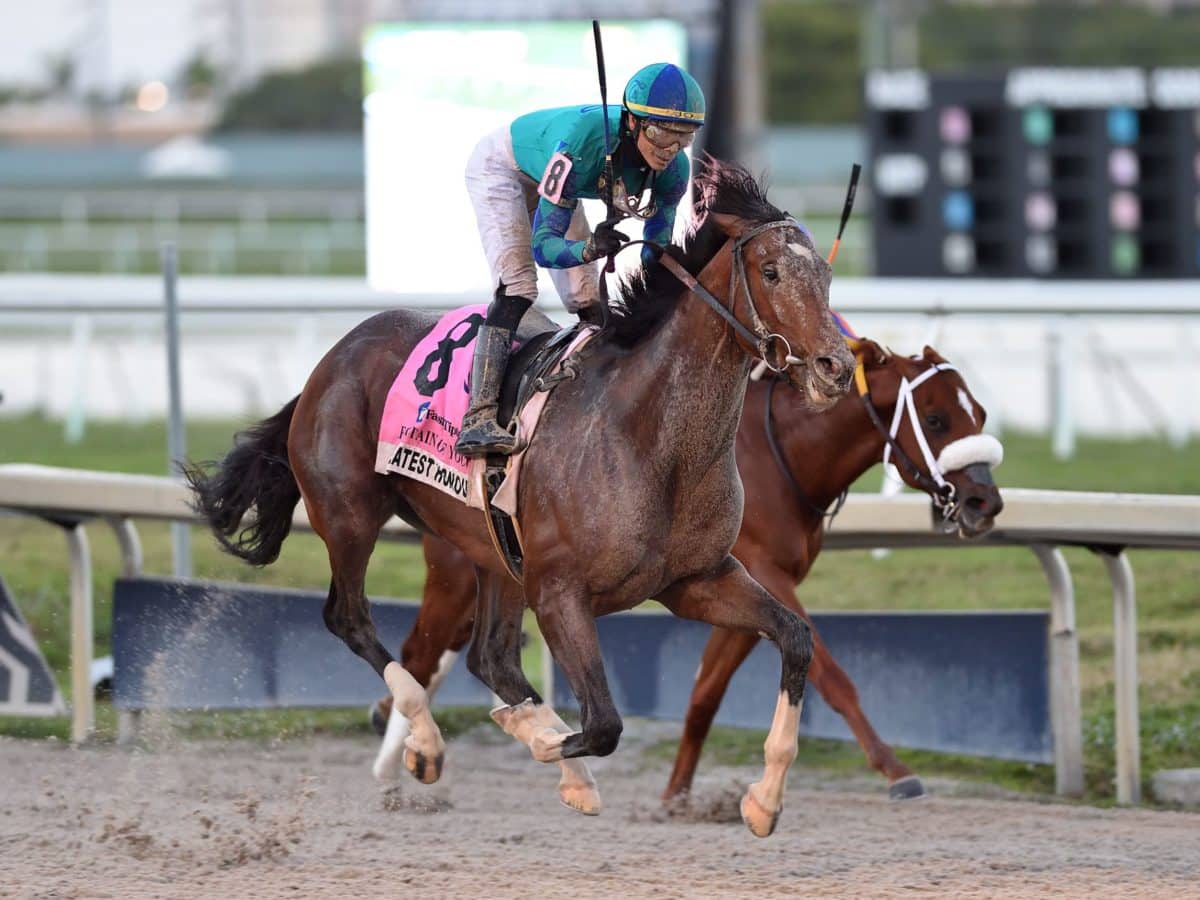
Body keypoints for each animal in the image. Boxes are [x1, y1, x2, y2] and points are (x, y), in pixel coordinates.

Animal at [187, 160, 859, 840]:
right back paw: (428, 741)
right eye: (771, 272)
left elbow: (795, 637)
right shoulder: (560, 591)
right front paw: (534, 737)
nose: (834, 367)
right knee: (350, 618)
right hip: (350, 516)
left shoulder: (696, 579)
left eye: (825, 276)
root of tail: (331, 359)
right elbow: (604, 724)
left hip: (489, 550)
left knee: (491, 657)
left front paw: (764, 799)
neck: (650, 437)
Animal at [372, 338, 1003, 801]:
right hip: (459, 576)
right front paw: (896, 770)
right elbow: (831, 672)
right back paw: (407, 750)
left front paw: (679, 790)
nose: (985, 502)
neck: (780, 457)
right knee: (420, 651)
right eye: (937, 418)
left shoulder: (736, 580)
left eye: (980, 412)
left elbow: (708, 689)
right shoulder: (761, 568)